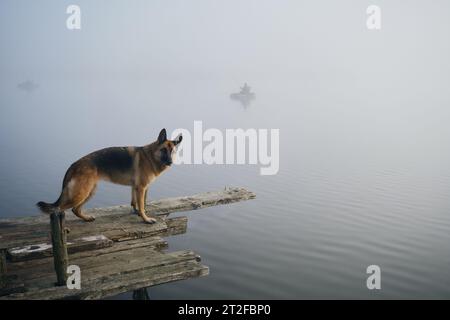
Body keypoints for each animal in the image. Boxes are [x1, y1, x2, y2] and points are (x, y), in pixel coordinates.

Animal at [36, 129, 181, 224]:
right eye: (164, 150)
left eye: (172, 151)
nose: (170, 162)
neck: (150, 156)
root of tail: (74, 164)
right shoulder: (141, 188)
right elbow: (142, 205)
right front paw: (145, 219)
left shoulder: (137, 188)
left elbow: (137, 203)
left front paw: (137, 212)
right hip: (82, 193)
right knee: (59, 209)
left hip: (90, 191)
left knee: (75, 209)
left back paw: (86, 218)